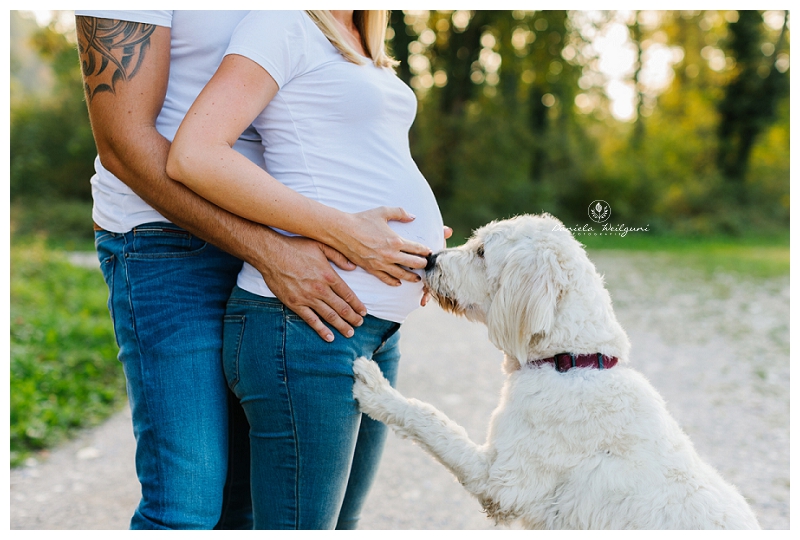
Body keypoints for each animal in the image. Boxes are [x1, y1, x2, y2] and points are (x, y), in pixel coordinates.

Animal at [354, 213, 760, 528]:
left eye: (483, 252)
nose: (429, 259)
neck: (572, 361)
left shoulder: (502, 483)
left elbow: (432, 421)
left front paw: (376, 390)